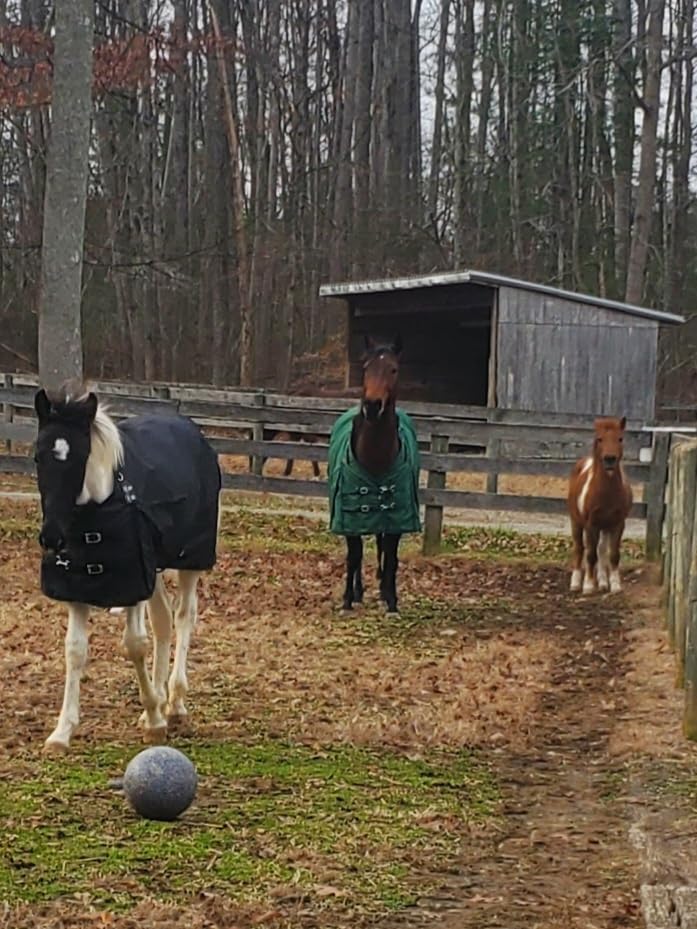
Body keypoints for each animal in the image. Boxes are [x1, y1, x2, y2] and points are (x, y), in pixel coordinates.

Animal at [33, 381, 221, 752]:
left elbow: (134, 645)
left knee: (184, 617)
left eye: (79, 456)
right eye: (37, 456)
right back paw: (162, 700)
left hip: (191, 562)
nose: (52, 538)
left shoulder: (132, 582)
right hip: (155, 569)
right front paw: (61, 734)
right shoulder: (79, 588)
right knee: (163, 621)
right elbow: (74, 651)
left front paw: (154, 721)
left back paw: (174, 704)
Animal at [327, 335, 420, 614]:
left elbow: (391, 557)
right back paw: (359, 592)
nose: (371, 406)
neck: (375, 460)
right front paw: (348, 599)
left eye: (394, 369)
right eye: (366, 367)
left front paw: (391, 601)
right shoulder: (349, 518)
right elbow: (354, 556)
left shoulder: (397, 517)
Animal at [567, 416, 633, 595]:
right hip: (576, 522)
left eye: (620, 438)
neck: (606, 494)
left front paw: (615, 586)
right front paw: (588, 586)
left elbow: (613, 554)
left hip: (605, 527)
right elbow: (590, 555)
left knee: (602, 550)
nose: (609, 459)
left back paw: (603, 583)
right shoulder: (591, 525)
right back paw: (576, 583)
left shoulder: (618, 524)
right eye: (600, 439)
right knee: (579, 549)